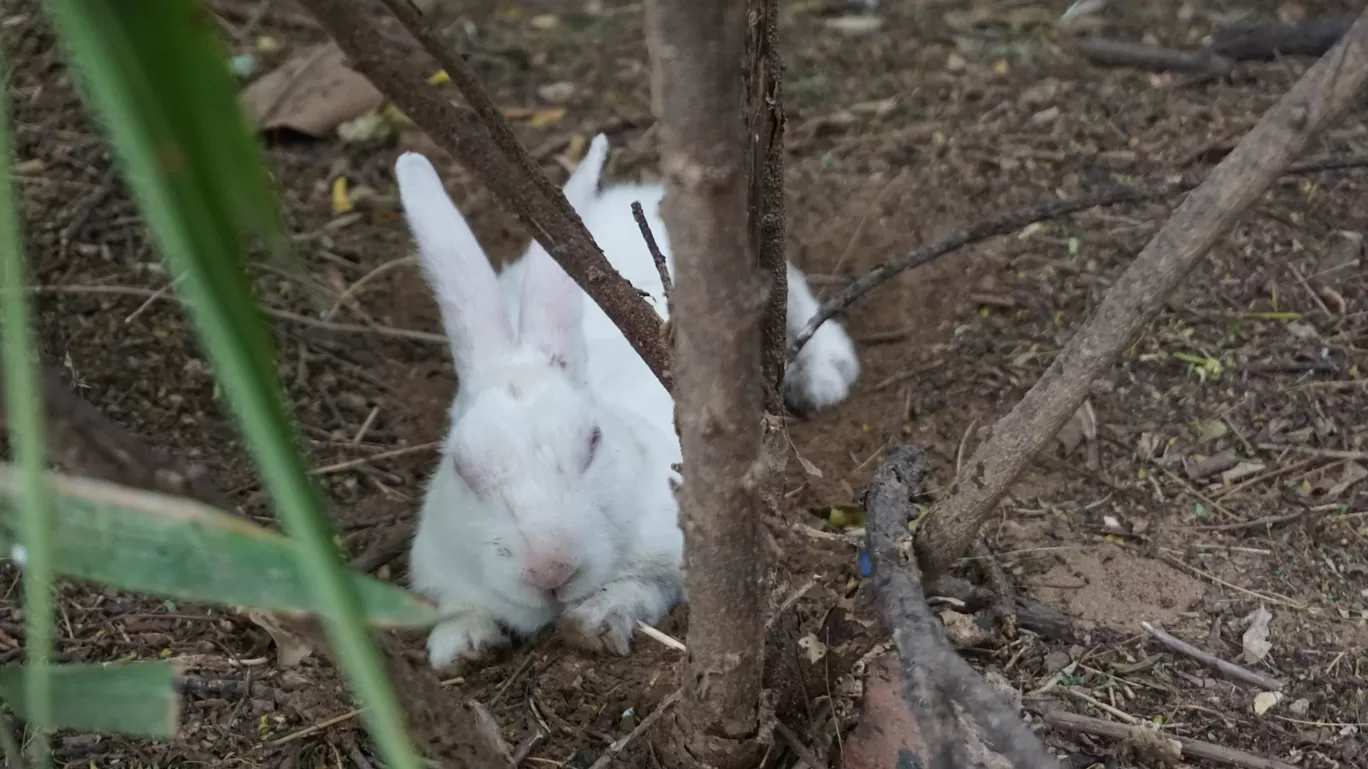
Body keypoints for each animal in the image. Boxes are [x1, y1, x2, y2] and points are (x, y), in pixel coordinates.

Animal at [393, 131, 853, 665]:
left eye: (593, 442)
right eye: (462, 469)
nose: (550, 570)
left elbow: (644, 586)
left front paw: (595, 621)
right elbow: (456, 609)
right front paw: (462, 646)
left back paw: (826, 377)